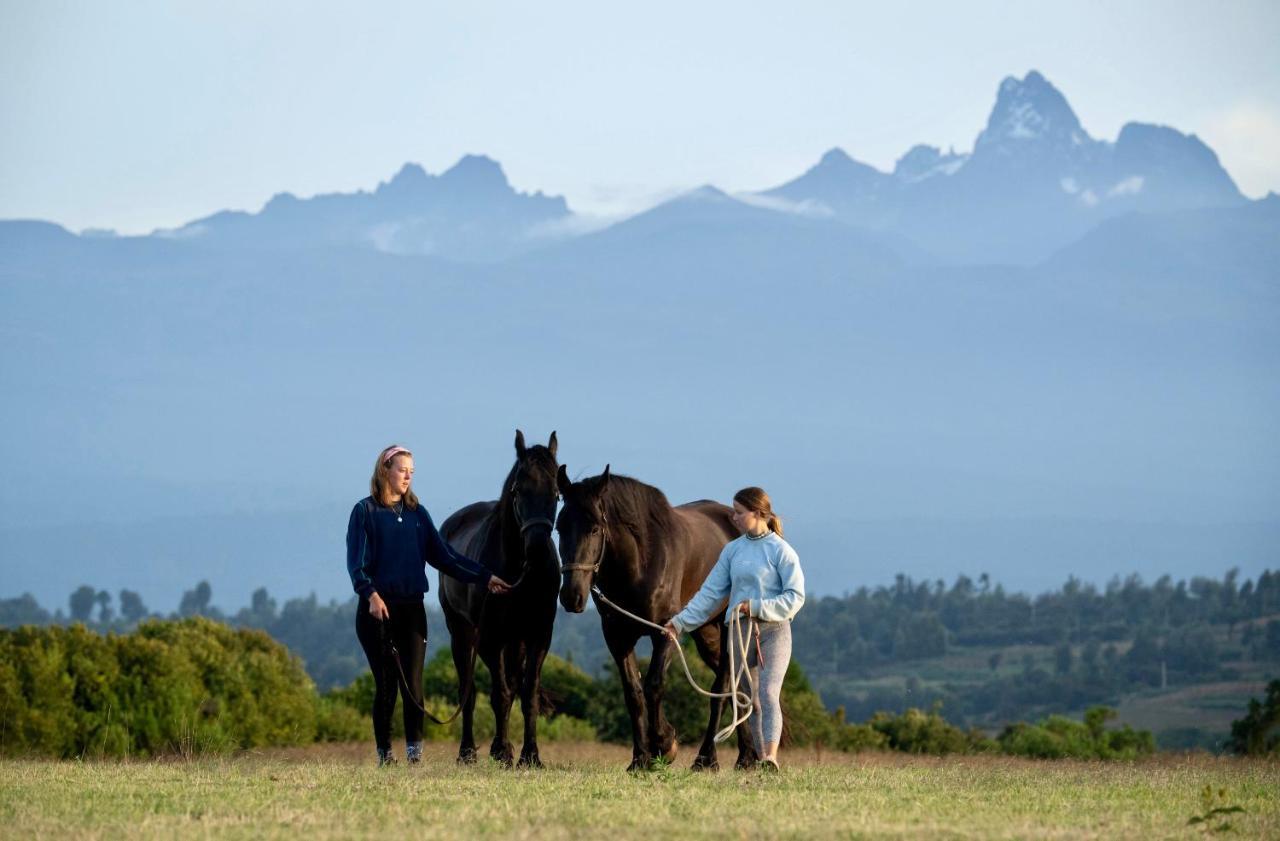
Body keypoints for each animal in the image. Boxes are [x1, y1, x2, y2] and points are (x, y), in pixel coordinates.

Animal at [440, 430, 560, 762]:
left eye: (556, 492)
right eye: (519, 489)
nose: (537, 549)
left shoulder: (538, 635)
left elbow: (528, 693)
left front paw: (530, 755)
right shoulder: (490, 639)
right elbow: (500, 694)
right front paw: (502, 750)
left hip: (514, 641)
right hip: (462, 633)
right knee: (467, 693)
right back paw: (467, 752)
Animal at [555, 463, 752, 773]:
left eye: (595, 528)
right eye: (559, 527)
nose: (571, 596)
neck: (642, 561)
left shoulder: (665, 631)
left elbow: (654, 686)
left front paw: (665, 744)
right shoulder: (617, 636)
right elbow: (633, 693)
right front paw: (640, 758)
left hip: (727, 627)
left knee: (721, 688)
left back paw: (707, 759)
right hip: (706, 633)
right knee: (736, 686)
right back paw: (747, 756)